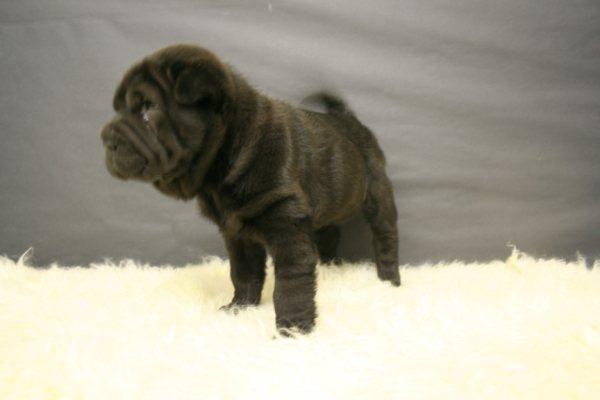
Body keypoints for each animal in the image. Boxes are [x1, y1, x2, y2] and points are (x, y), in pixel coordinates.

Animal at [101, 44, 400, 334]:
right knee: (329, 232)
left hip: (377, 193)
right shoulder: (237, 234)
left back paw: (389, 280)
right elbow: (243, 273)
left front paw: (293, 328)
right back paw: (331, 268)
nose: (106, 138)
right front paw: (241, 307)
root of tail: (348, 118)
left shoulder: (288, 228)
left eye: (148, 108)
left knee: (385, 237)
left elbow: (291, 283)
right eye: (118, 109)